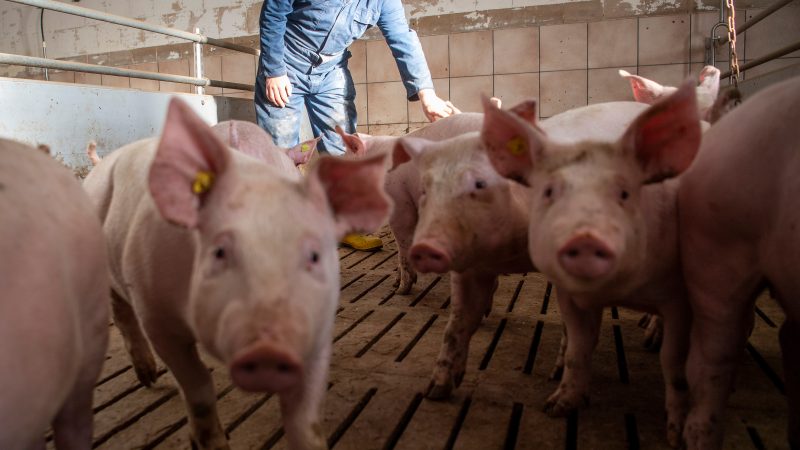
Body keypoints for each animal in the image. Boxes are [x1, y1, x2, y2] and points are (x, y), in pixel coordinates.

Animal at [82, 99, 391, 450]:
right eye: (220, 251)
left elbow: (304, 417)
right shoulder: (157, 315)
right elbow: (198, 385)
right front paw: (213, 444)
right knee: (120, 312)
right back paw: (148, 378)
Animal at [391, 98, 652, 400]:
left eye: (480, 184)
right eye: (426, 189)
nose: (425, 247)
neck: (512, 252)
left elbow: (575, 327)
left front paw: (556, 381)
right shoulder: (470, 266)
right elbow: (456, 324)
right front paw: (435, 391)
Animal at [485, 80, 702, 447]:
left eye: (624, 193)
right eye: (549, 192)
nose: (585, 238)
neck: (620, 293)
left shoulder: (678, 297)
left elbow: (674, 364)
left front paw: (676, 436)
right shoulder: (568, 296)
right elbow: (578, 347)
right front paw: (556, 406)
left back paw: (650, 338)